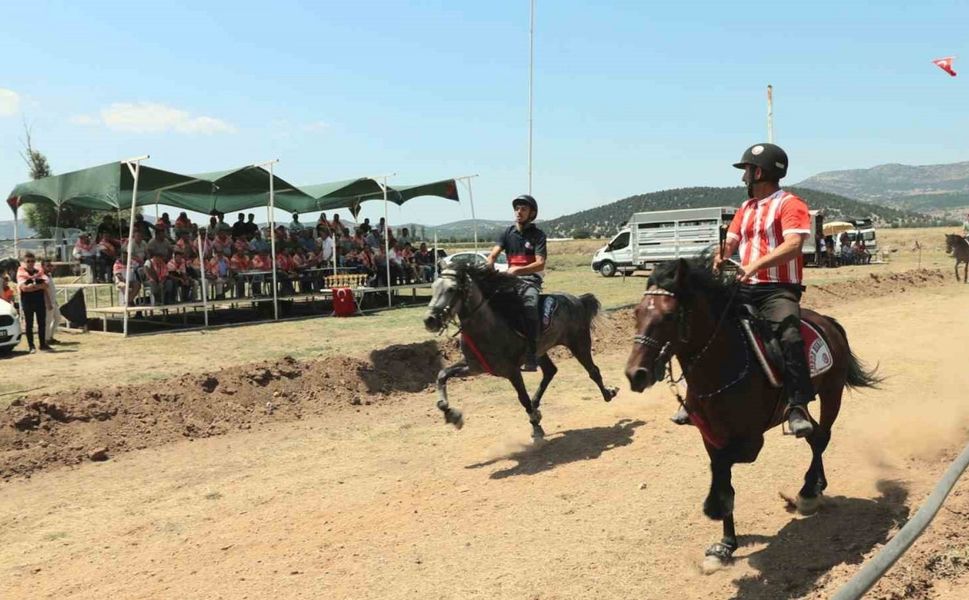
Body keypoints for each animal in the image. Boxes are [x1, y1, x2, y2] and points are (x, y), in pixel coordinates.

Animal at [420, 264, 616, 438]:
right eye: (433, 286)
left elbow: (522, 398)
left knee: (593, 371)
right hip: (541, 352)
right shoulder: (474, 367)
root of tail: (578, 299)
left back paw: (608, 393)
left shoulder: (511, 371)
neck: (488, 327)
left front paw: (536, 425)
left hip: (579, 343)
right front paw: (451, 414)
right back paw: (537, 404)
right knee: (550, 371)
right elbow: (442, 374)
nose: (430, 320)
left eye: (452, 289)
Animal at [624, 256, 880, 572]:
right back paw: (816, 485)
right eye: (636, 313)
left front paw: (714, 506)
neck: (725, 363)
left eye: (670, 316)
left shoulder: (751, 442)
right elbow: (721, 473)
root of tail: (827, 322)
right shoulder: (711, 437)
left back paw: (808, 492)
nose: (636, 374)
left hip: (832, 393)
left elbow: (722, 470)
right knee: (813, 434)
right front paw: (724, 546)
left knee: (822, 437)